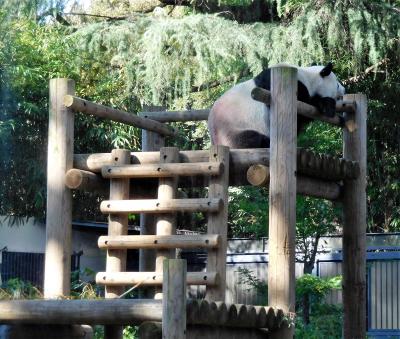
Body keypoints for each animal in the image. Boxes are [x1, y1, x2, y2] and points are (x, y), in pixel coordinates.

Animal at [208, 62, 346, 149]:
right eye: (337, 84)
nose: (344, 90)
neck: (307, 77)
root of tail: (214, 142)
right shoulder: (276, 85)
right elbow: (302, 105)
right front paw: (327, 105)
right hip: (231, 129)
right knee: (251, 139)